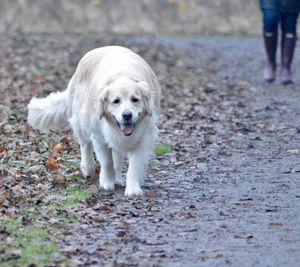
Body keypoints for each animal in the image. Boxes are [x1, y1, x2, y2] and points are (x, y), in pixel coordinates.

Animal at [27, 46, 161, 197]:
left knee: (117, 156)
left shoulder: (144, 138)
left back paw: (118, 178)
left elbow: (134, 165)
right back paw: (88, 167)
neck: (123, 75)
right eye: (116, 101)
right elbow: (107, 162)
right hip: (81, 121)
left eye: (135, 99)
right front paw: (107, 182)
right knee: (85, 145)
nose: (127, 115)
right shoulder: (99, 136)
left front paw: (132, 188)